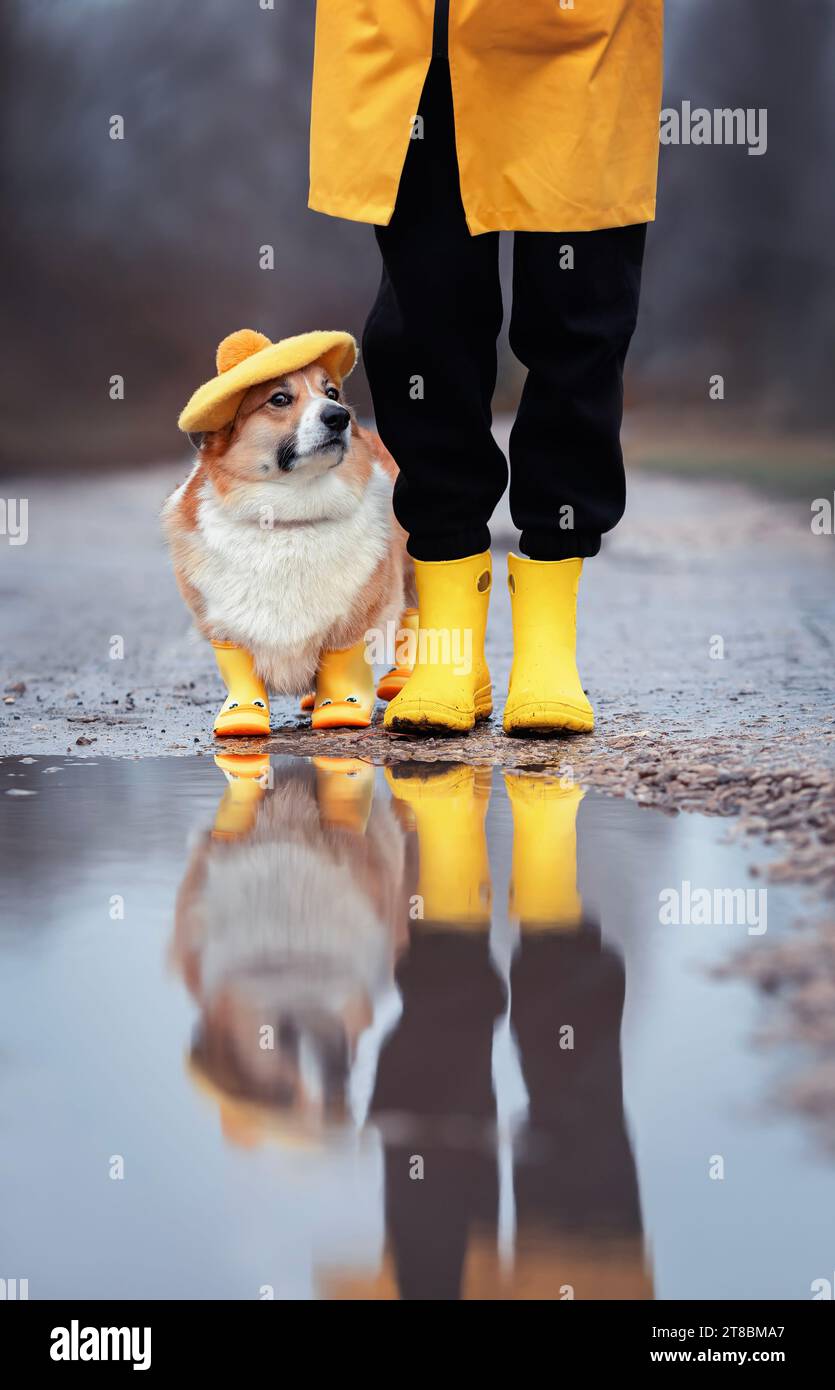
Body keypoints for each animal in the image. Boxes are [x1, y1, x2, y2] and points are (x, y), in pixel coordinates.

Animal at [161, 332, 414, 739]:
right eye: (279, 399)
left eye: (332, 392)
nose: (338, 416)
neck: (287, 517)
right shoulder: (225, 626)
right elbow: (241, 671)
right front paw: (242, 715)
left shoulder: (354, 621)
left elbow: (342, 661)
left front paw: (341, 708)